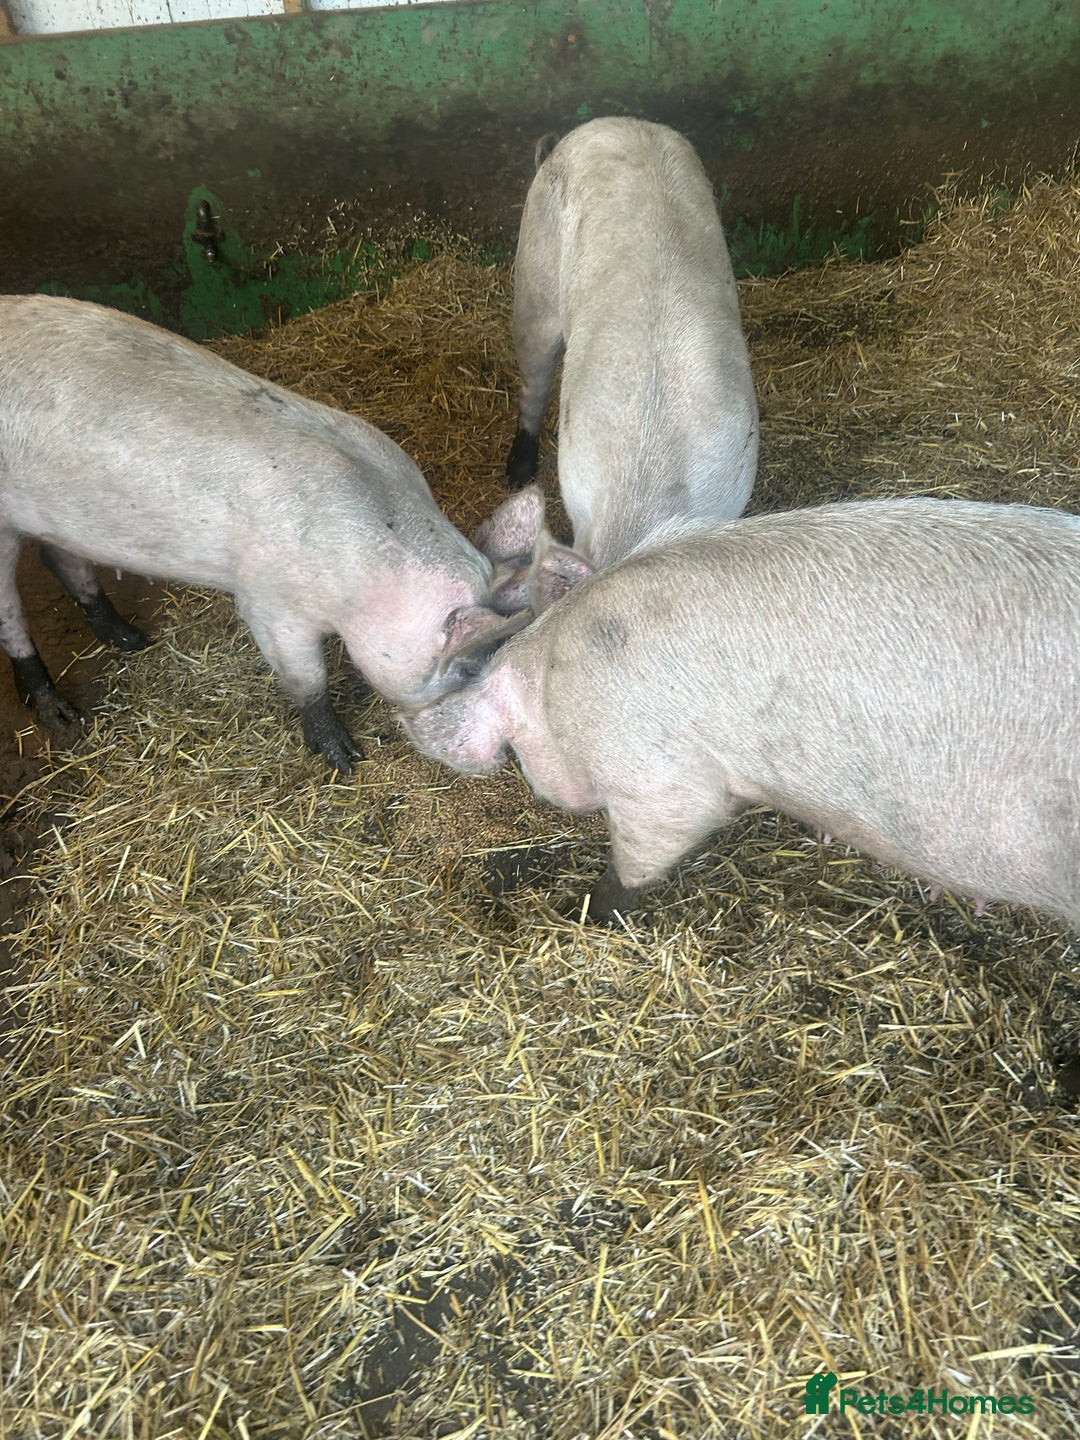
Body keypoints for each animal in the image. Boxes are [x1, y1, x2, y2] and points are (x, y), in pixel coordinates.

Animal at [0, 294, 525, 772]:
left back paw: (132, 640)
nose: (501, 760)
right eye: (466, 668)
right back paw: (62, 715)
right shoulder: (269, 604)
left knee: (60, 560)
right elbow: (307, 679)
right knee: (12, 614)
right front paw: (345, 760)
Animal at [403, 498, 1080, 929]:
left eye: (519, 756)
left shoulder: (651, 765)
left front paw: (590, 913)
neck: (552, 682)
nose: (536, 785)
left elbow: (657, 838)